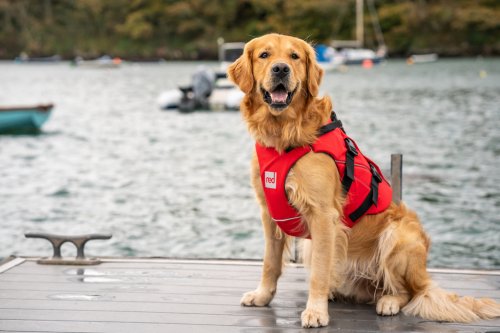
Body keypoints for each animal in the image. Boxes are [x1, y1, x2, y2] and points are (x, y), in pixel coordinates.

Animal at [229, 33, 500, 326]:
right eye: (264, 55)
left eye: (294, 56)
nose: (281, 69)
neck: (284, 134)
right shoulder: (269, 212)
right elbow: (270, 262)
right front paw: (262, 296)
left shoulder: (323, 215)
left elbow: (318, 273)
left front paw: (315, 311)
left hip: (398, 236)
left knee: (408, 292)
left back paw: (389, 301)